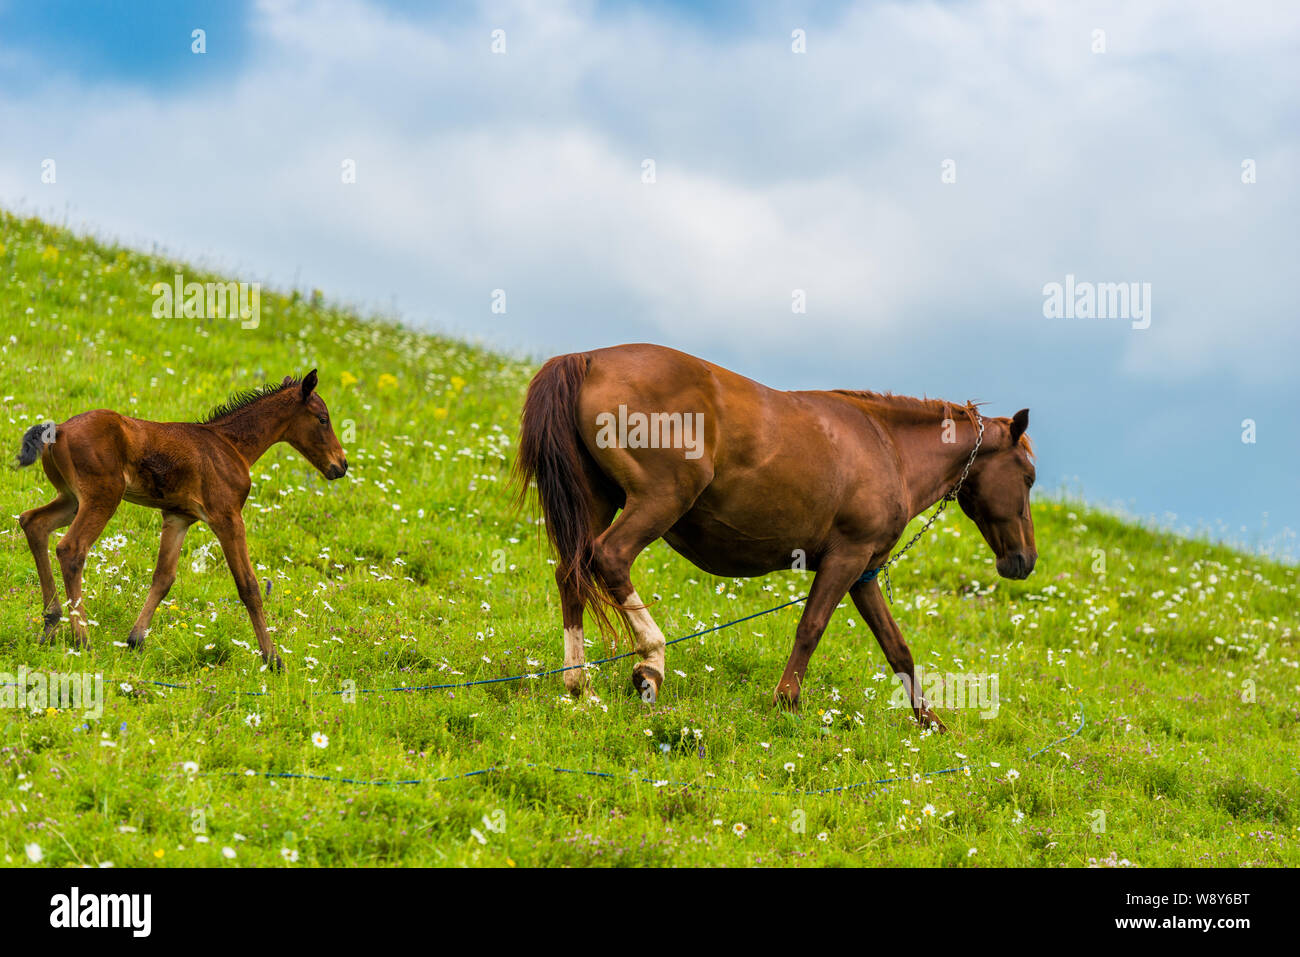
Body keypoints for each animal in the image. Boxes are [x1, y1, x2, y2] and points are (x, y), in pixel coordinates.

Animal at [12, 370, 347, 668]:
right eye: (322, 419)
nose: (341, 465)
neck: (231, 445)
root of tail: (59, 430)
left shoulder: (178, 517)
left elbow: (163, 577)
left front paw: (136, 641)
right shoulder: (227, 517)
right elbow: (249, 586)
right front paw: (273, 659)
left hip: (71, 499)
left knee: (33, 523)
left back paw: (50, 624)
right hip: (102, 497)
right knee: (71, 549)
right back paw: (82, 639)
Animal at [513, 344, 1036, 730]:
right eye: (1028, 477)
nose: (1024, 561)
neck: (888, 447)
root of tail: (587, 358)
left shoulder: (864, 573)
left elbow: (897, 646)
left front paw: (929, 722)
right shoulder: (846, 559)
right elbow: (811, 627)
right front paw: (786, 702)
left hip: (597, 501)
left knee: (571, 573)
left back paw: (579, 685)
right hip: (659, 501)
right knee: (609, 558)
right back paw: (651, 664)